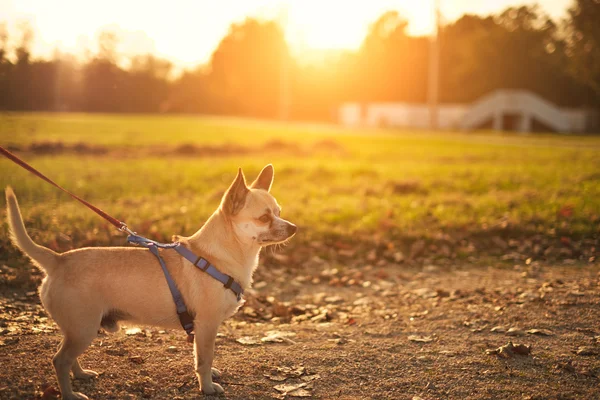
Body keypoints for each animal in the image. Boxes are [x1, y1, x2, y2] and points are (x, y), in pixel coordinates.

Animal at [4, 165, 296, 400]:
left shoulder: (201, 330)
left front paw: (208, 375)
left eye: (279, 212)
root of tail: (58, 259)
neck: (214, 256)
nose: (294, 227)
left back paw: (82, 374)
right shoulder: (207, 325)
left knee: (67, 357)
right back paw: (70, 394)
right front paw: (207, 387)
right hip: (83, 330)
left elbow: (200, 356)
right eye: (264, 218)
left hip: (78, 330)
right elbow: (204, 357)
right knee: (59, 360)